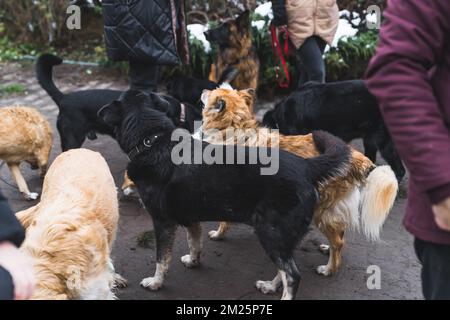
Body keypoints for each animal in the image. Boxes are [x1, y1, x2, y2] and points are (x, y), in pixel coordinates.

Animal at [98, 90, 352, 300]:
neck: (153, 141)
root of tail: (307, 166)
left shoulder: (163, 222)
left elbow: (162, 259)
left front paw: (156, 282)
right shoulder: (191, 218)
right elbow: (194, 243)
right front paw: (193, 261)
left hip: (271, 232)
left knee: (293, 275)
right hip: (282, 237)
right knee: (286, 269)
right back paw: (270, 286)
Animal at [200, 87, 398, 278]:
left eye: (212, 92)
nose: (203, 90)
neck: (234, 129)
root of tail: (357, 156)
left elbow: (223, 221)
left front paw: (218, 234)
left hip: (321, 212)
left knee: (338, 242)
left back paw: (329, 269)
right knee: (340, 234)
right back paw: (327, 251)